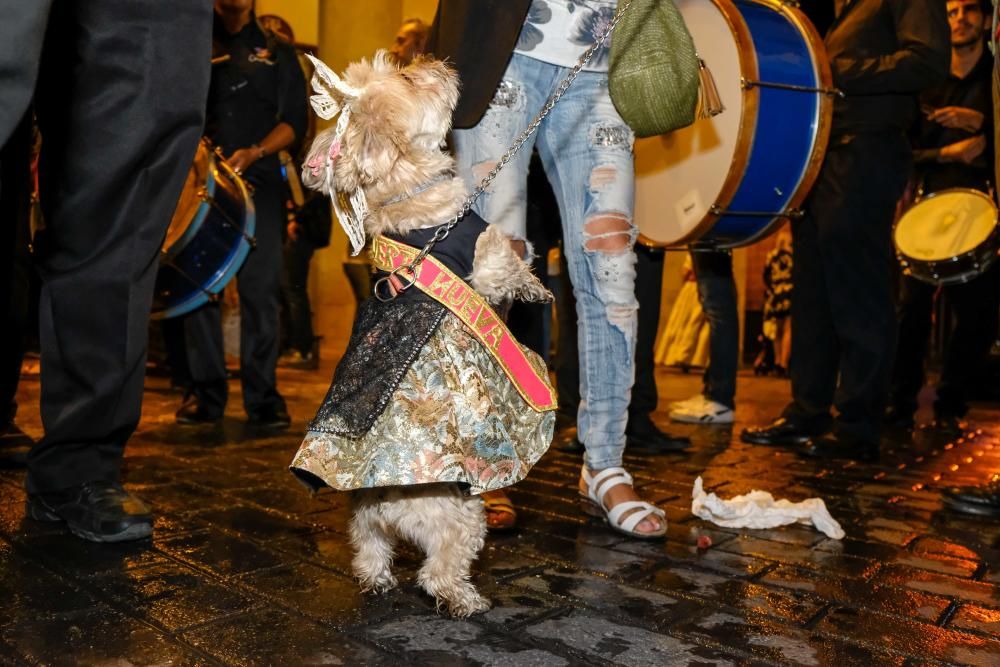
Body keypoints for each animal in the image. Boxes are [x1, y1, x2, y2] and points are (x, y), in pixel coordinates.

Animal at [290, 49, 556, 620]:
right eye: (410, 79)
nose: (435, 60)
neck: (404, 193)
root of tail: (389, 502)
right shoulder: (484, 254)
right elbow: (509, 268)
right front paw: (536, 284)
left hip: (364, 522)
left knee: (368, 550)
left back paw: (376, 580)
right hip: (463, 519)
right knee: (438, 573)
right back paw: (465, 600)